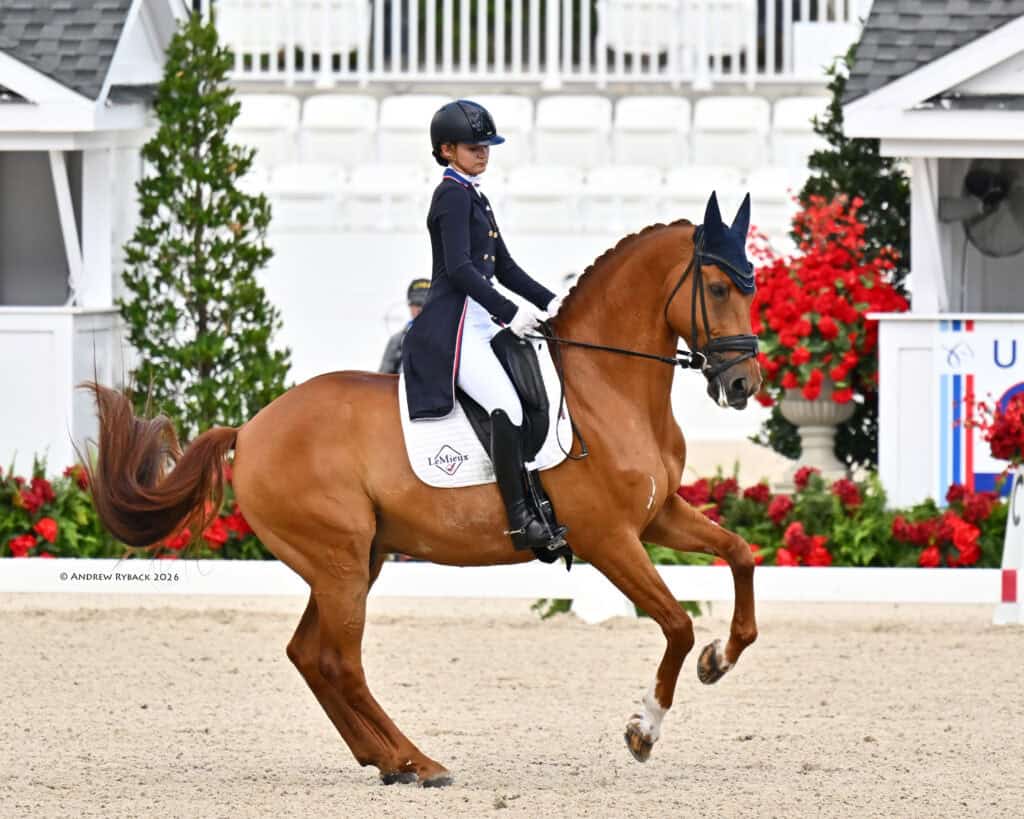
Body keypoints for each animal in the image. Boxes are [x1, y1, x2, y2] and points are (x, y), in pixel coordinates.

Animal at [86, 216, 762, 787]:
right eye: (718, 287)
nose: (742, 385)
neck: (607, 387)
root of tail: (249, 430)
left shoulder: (657, 515)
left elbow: (741, 555)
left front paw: (719, 659)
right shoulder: (608, 538)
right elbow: (675, 623)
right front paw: (644, 730)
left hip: (353, 562)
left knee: (309, 655)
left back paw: (386, 760)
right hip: (339, 562)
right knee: (341, 662)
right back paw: (419, 761)